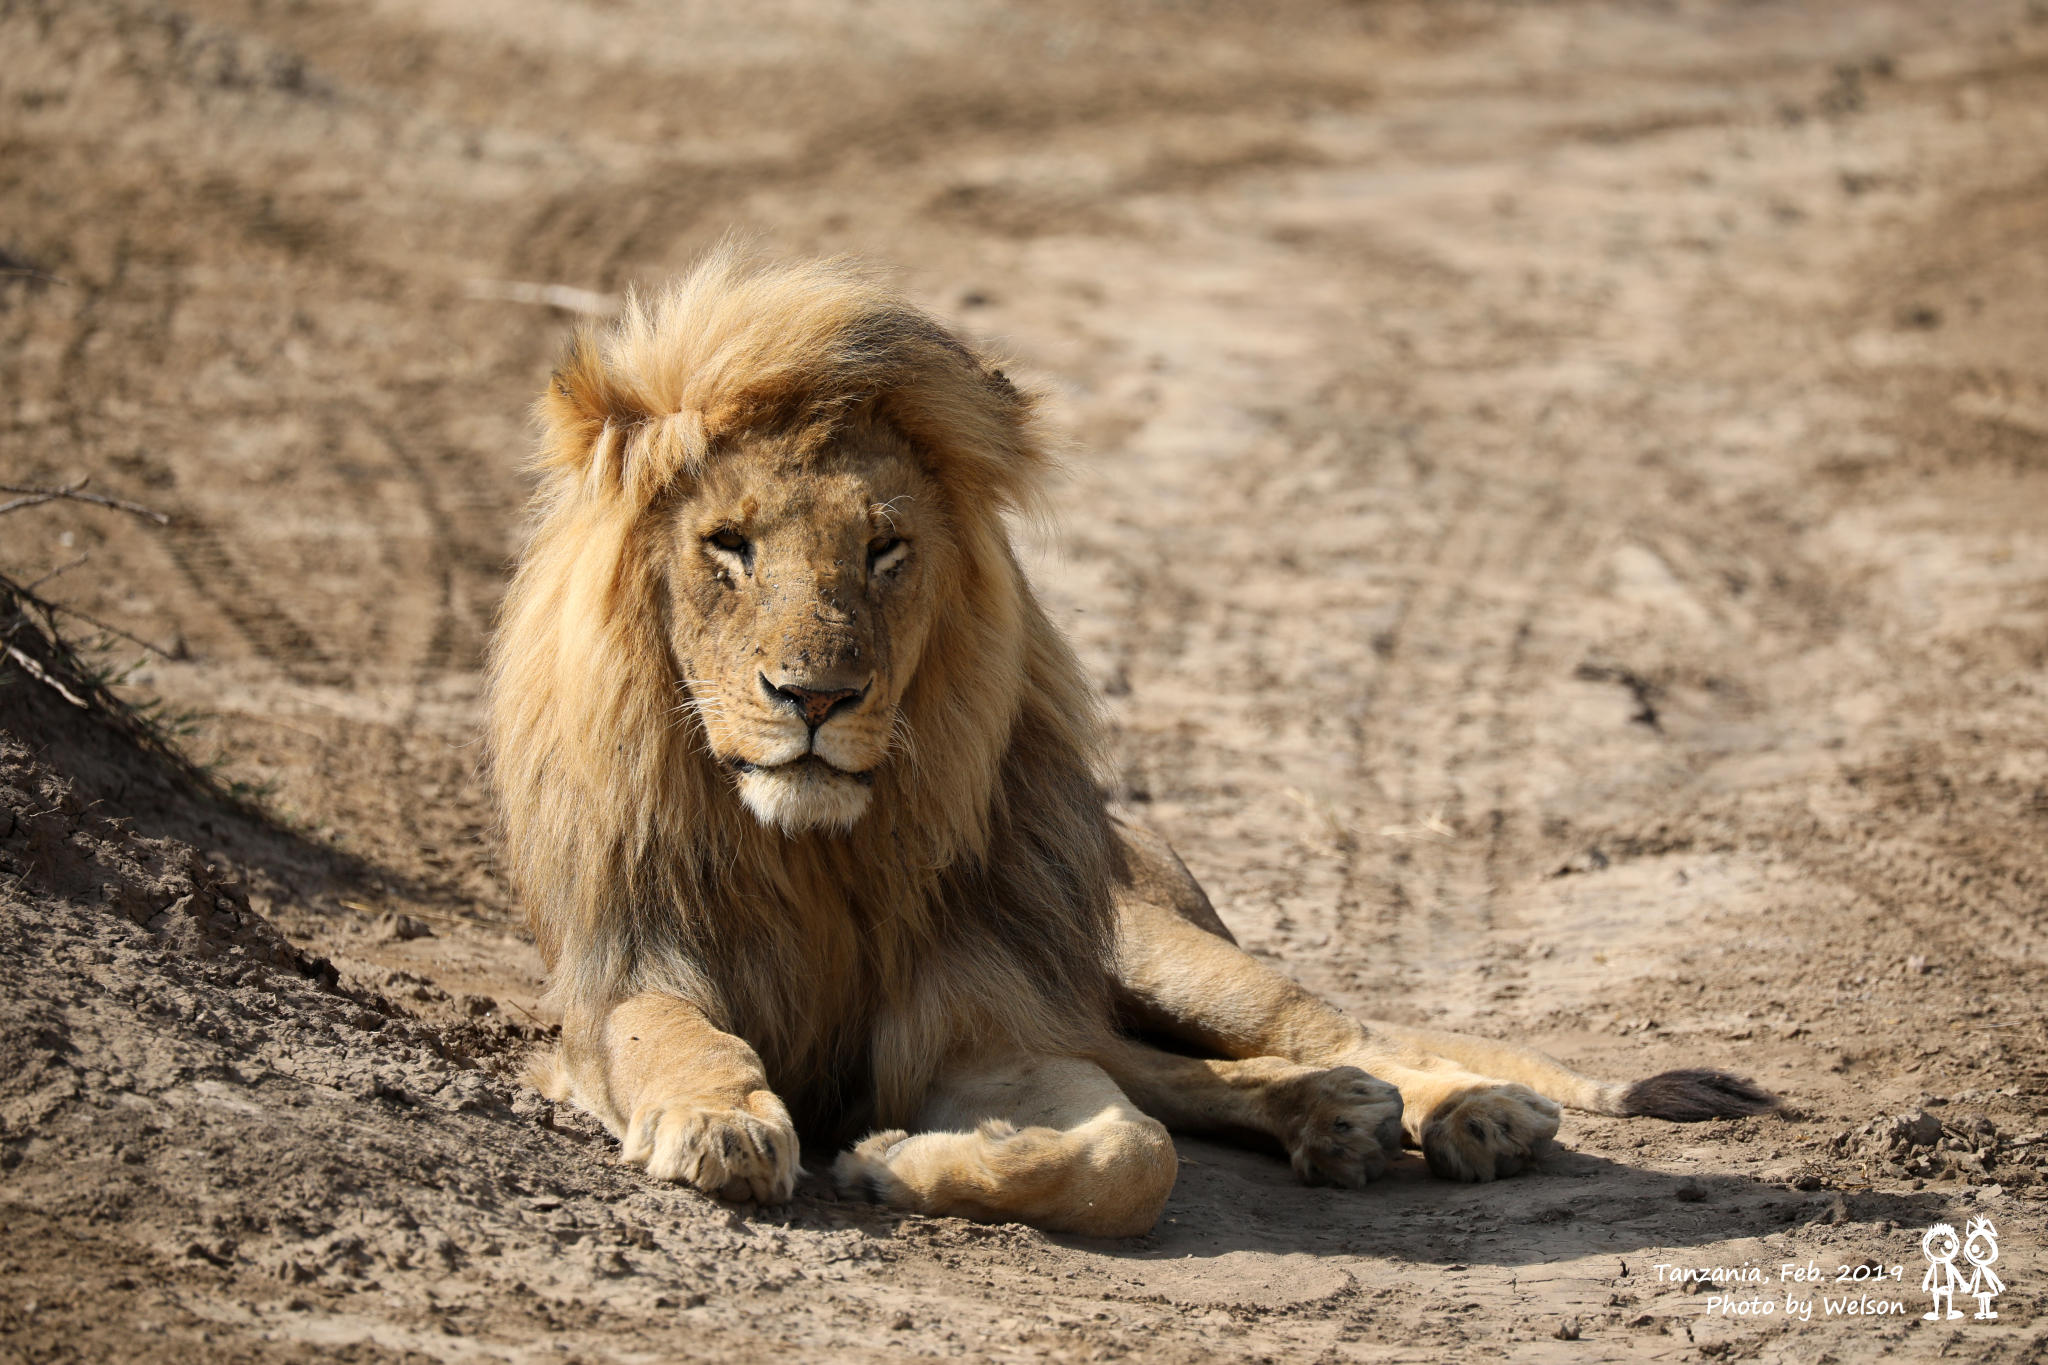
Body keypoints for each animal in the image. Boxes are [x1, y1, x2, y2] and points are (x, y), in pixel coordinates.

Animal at [483, 245, 1777, 1236]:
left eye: (885, 551)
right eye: (729, 546)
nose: (815, 696)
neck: (814, 852)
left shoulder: (986, 1018)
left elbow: (1127, 1156)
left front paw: (886, 1159)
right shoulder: (625, 974)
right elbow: (671, 1038)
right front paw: (721, 1122)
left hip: (1161, 949)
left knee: (1326, 1030)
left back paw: (1470, 1110)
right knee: (1192, 1069)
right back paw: (1338, 1115)